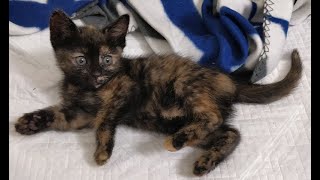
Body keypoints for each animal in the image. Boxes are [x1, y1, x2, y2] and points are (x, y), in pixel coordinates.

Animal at [13, 10, 302, 176]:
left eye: (107, 60)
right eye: (81, 60)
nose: (97, 75)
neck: (87, 89)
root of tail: (228, 79)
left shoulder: (123, 89)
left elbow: (105, 121)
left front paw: (102, 151)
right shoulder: (79, 114)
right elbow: (55, 114)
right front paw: (30, 122)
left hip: (185, 86)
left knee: (213, 117)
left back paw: (178, 142)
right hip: (177, 121)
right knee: (231, 133)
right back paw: (205, 162)